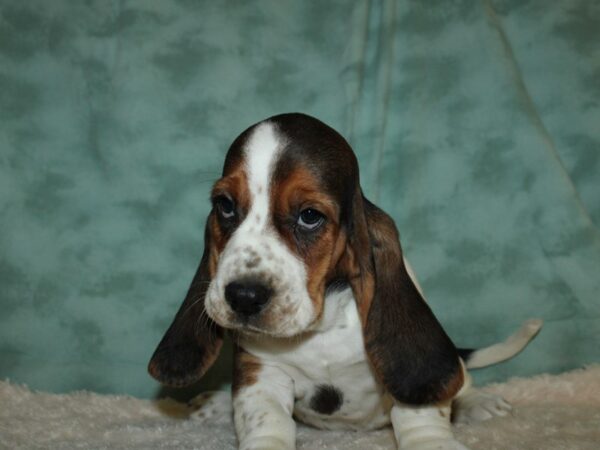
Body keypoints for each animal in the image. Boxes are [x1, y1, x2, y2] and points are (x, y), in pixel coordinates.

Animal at [148, 113, 540, 450]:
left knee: (460, 376)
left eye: (309, 216)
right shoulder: (262, 372)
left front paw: (433, 443)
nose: (243, 296)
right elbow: (267, 419)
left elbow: (420, 416)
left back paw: (478, 401)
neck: (324, 323)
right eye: (225, 206)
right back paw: (213, 404)